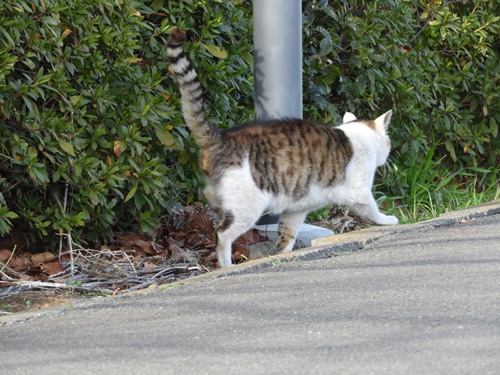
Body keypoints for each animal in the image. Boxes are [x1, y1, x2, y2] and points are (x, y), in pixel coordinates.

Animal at [168, 27, 398, 268]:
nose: (389, 153)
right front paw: (388, 220)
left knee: (210, 196)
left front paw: (284, 253)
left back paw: (216, 207)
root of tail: (223, 136)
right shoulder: (359, 192)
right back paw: (225, 264)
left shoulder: (295, 209)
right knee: (222, 234)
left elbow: (287, 234)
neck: (359, 135)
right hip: (248, 205)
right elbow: (372, 209)